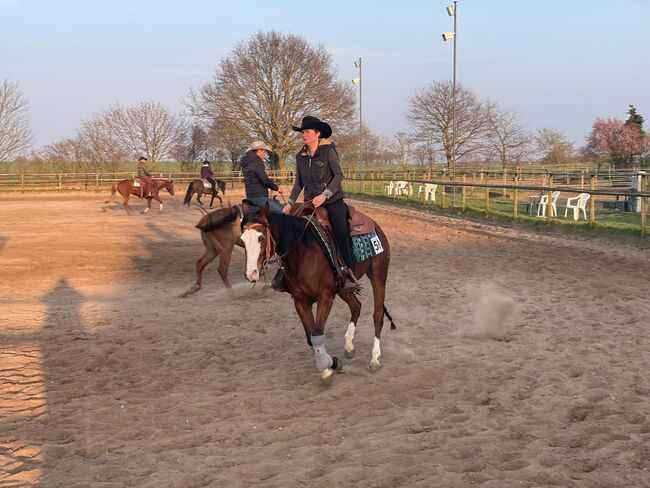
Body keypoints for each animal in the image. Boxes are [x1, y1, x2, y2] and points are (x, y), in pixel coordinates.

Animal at [237, 202, 390, 386]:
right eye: (242, 240)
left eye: (261, 238)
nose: (250, 273)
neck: (303, 254)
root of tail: (375, 225)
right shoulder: (301, 301)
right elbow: (311, 337)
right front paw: (332, 363)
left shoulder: (325, 297)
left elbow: (317, 333)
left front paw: (326, 369)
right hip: (342, 288)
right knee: (356, 306)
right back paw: (349, 346)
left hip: (378, 275)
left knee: (378, 315)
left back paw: (374, 360)